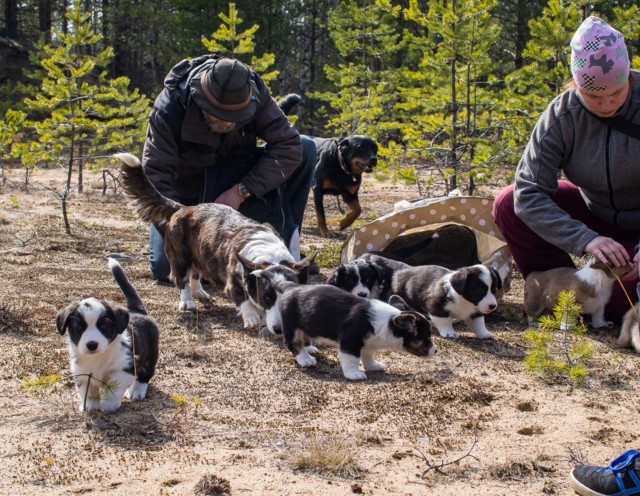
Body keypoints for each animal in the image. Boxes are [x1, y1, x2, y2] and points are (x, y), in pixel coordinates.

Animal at [56, 258, 159, 412]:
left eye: (103, 326)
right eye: (79, 327)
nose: (92, 344)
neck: (98, 357)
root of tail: (138, 311)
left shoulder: (123, 368)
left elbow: (112, 387)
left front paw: (108, 404)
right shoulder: (81, 372)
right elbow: (87, 391)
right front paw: (90, 406)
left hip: (151, 355)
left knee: (144, 374)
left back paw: (136, 391)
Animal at [115, 153, 318, 328]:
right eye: (266, 298)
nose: (280, 328)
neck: (269, 255)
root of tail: (183, 208)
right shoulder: (233, 281)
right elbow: (243, 299)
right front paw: (252, 318)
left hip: (199, 253)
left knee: (195, 272)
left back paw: (199, 291)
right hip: (180, 257)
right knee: (182, 279)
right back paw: (188, 301)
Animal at [250, 274, 436, 382]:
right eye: (427, 338)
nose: (436, 351)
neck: (389, 322)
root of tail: (291, 286)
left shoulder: (368, 344)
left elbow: (368, 356)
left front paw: (373, 366)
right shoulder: (350, 341)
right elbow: (352, 359)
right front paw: (354, 374)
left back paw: (309, 349)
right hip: (292, 325)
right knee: (293, 343)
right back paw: (305, 359)